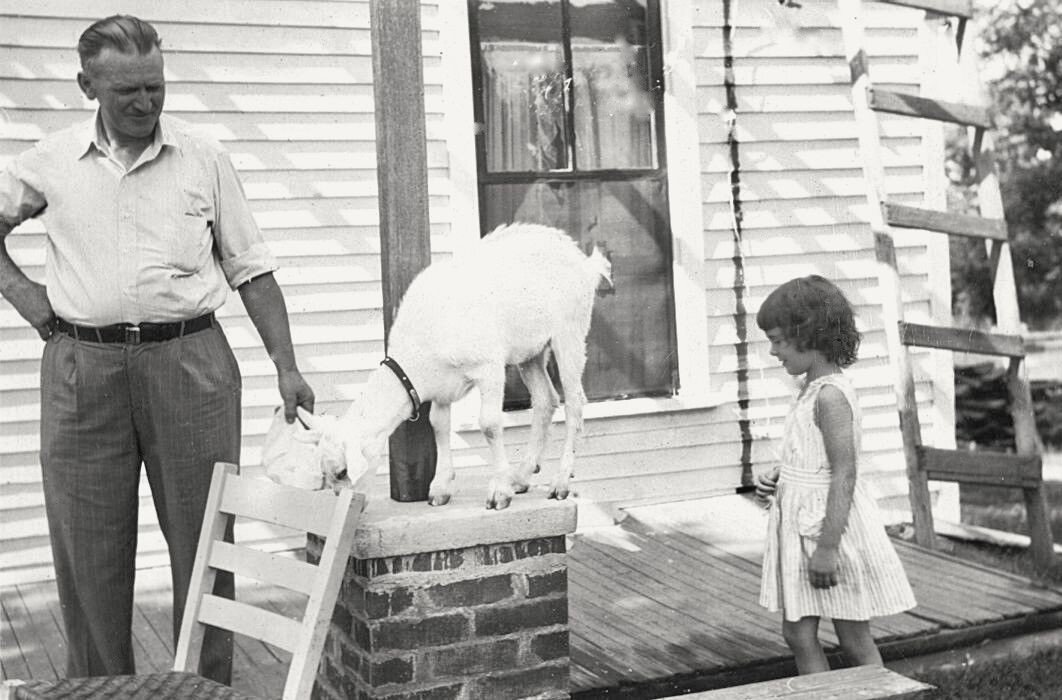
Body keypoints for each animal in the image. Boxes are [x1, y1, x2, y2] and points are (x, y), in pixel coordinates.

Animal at [305, 223, 615, 509]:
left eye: (342, 471)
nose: (345, 504)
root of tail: (583, 261)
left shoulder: (489, 366)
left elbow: (489, 424)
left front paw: (498, 492)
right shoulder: (442, 386)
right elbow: (438, 425)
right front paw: (440, 488)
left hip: (570, 332)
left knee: (574, 402)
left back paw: (559, 483)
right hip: (531, 352)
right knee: (545, 399)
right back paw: (522, 476)